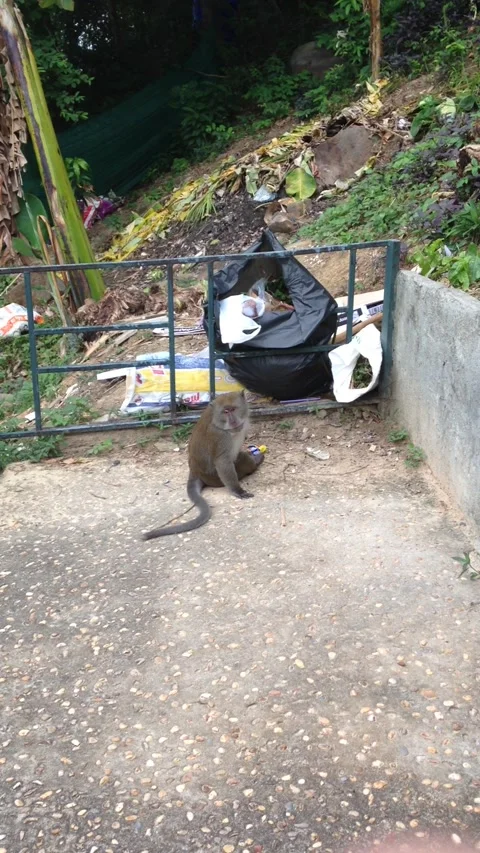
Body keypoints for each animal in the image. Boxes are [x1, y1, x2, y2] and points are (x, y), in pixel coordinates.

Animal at [142, 390, 263, 540]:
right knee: (242, 459)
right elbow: (222, 462)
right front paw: (237, 490)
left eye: (233, 409)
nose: (232, 420)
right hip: (214, 478)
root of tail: (194, 471)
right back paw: (255, 461)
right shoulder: (220, 437)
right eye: (225, 411)